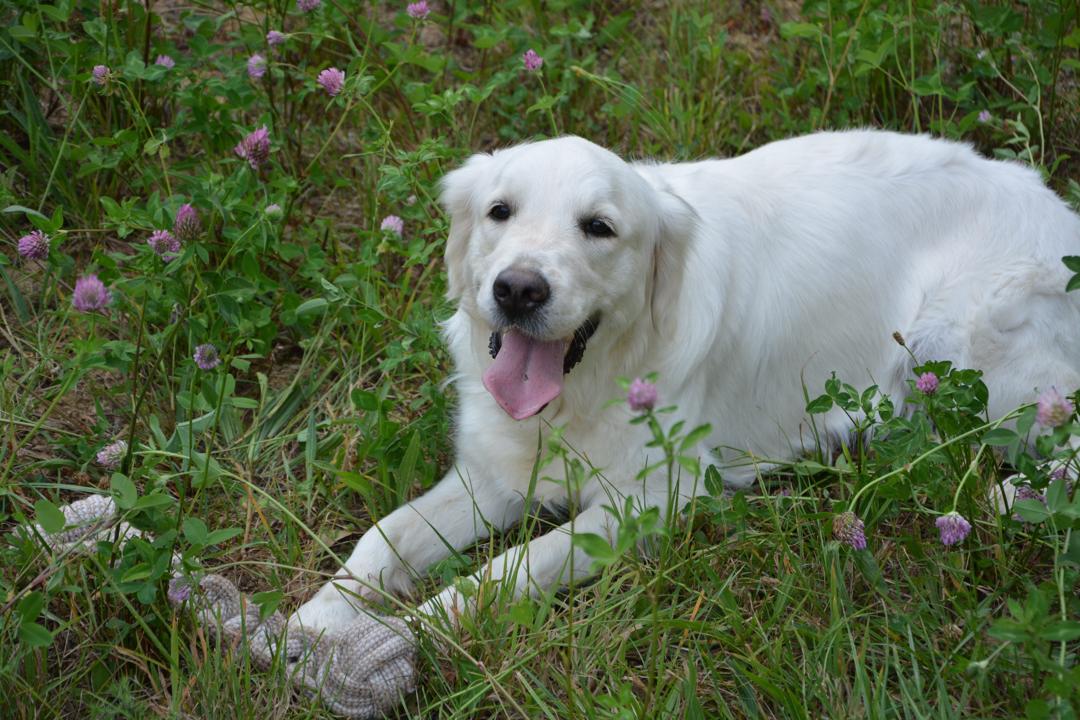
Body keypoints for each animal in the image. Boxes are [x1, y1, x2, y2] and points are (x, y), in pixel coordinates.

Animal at [291, 129, 1080, 630]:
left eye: (599, 227)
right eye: (499, 212)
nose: (517, 290)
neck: (590, 383)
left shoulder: (649, 499)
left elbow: (503, 571)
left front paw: (404, 636)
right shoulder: (492, 476)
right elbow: (382, 537)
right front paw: (308, 626)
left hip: (954, 346)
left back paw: (1017, 495)